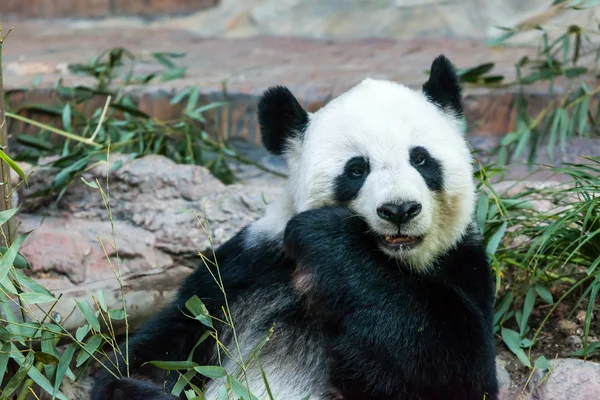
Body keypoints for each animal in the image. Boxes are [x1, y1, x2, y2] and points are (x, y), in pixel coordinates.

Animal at [90, 54, 496, 400]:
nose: (399, 209)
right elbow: (156, 353)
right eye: (356, 169)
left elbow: (456, 368)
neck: (392, 262)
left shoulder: (462, 263)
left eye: (421, 159)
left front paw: (330, 239)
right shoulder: (244, 271)